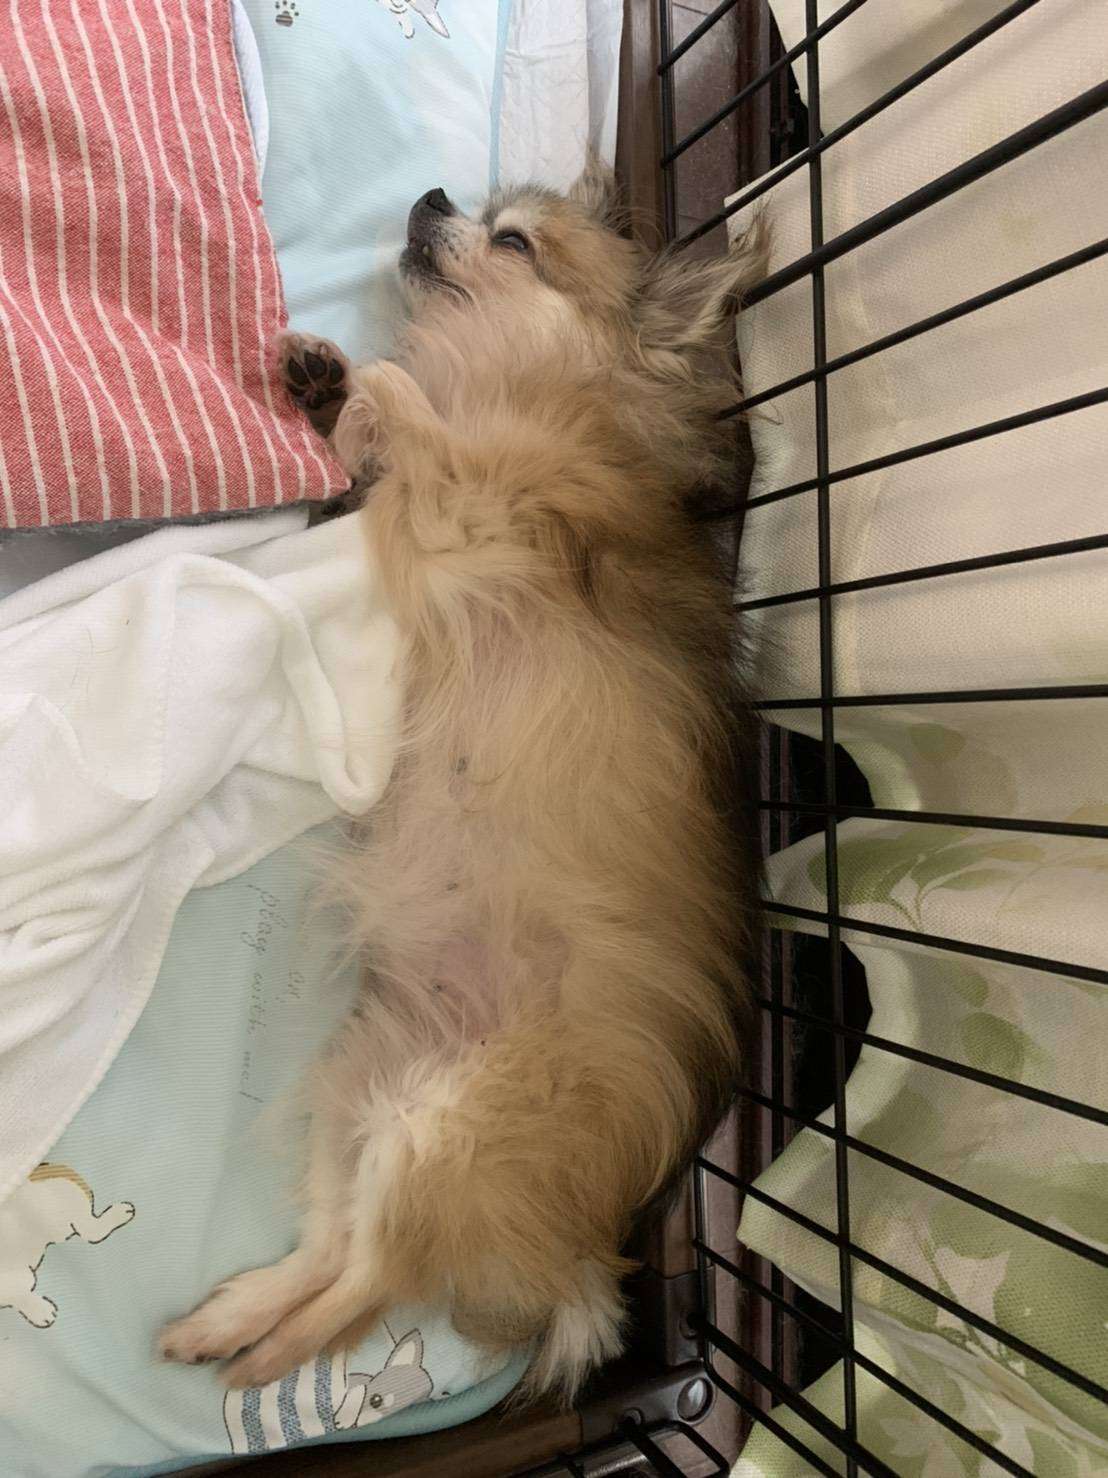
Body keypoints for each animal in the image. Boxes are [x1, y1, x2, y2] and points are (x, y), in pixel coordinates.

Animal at [160, 162, 763, 1402]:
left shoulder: (469, 513)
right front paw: (326, 388)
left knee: (363, 1289)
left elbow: (415, 418)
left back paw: (256, 1360)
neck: (520, 391)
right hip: (359, 1090)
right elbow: (372, 456)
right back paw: (229, 1316)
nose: (433, 191)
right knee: (333, 1251)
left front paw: (364, 383)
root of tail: (583, 1254)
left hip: (441, 1131)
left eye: (516, 241)